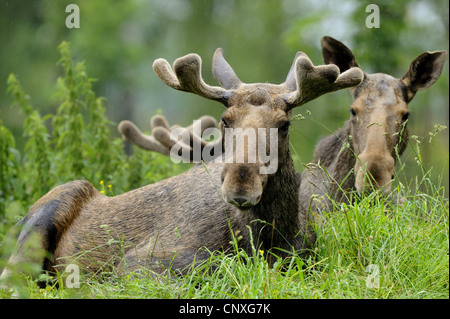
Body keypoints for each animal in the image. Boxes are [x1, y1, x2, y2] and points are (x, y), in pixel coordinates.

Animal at [0, 47, 362, 284]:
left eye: (284, 124)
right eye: (225, 121)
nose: (240, 186)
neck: (273, 240)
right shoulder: (139, 262)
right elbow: (208, 269)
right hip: (42, 222)